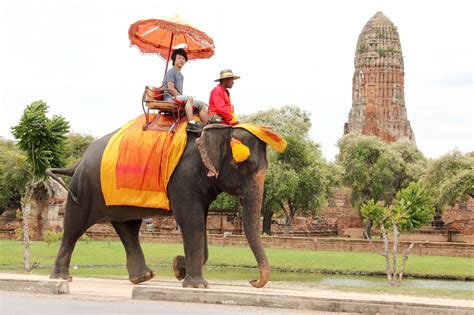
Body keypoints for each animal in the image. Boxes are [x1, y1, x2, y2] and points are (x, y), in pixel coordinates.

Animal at [48, 124, 270, 288]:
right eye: (245, 166)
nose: (252, 281)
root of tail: (77, 163)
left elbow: (201, 222)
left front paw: (179, 267)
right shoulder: (183, 178)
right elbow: (191, 221)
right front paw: (196, 284)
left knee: (128, 227)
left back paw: (142, 278)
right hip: (83, 190)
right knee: (74, 227)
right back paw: (61, 278)